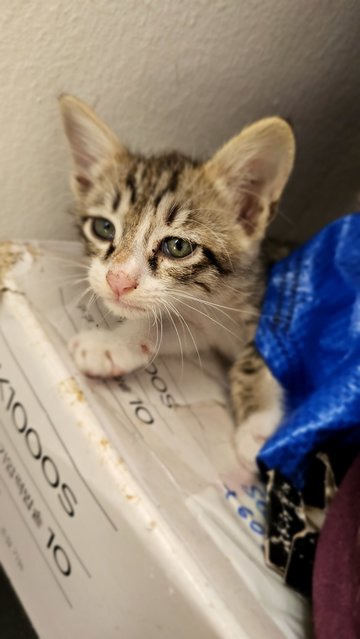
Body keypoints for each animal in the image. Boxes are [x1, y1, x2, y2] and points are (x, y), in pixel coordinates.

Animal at [59, 95, 296, 476]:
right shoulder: (203, 320)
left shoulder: (277, 302)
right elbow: (169, 325)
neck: (218, 297)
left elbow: (259, 354)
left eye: (178, 247)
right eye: (103, 228)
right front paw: (112, 344)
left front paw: (258, 427)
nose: (117, 280)